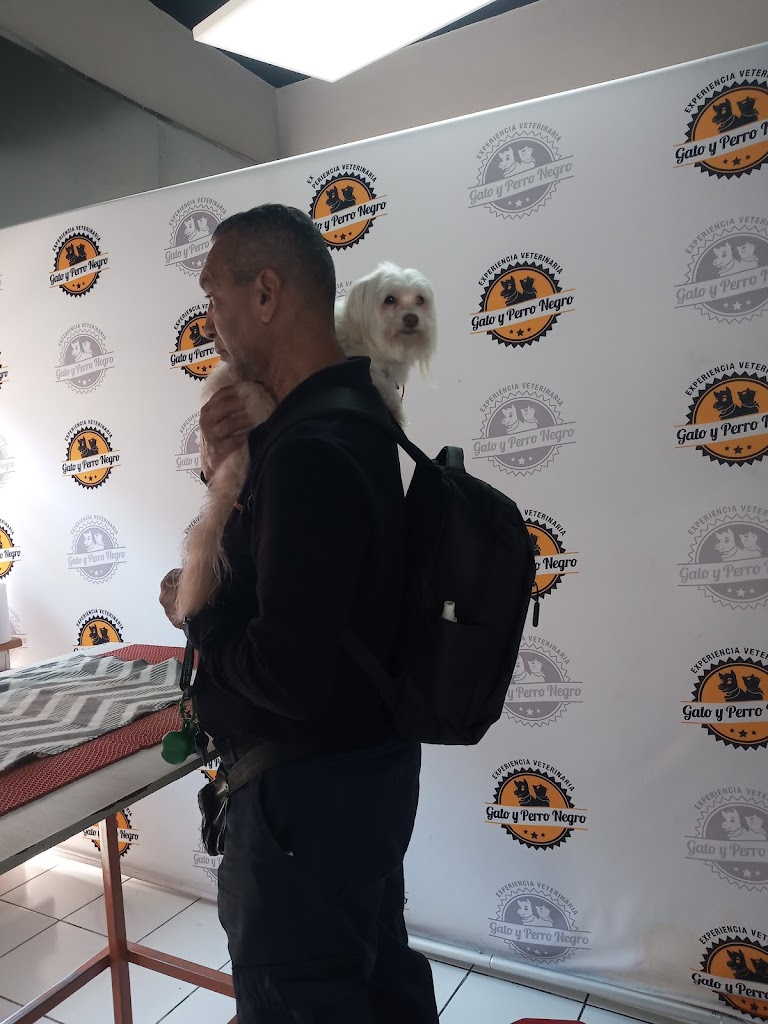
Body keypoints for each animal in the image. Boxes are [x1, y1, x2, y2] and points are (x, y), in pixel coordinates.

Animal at [174, 262, 436, 623]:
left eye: (420, 300)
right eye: (390, 300)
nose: (412, 319)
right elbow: (376, 378)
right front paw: (391, 402)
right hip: (245, 391)